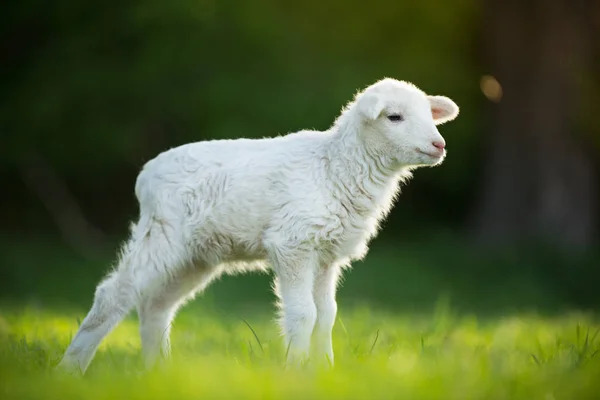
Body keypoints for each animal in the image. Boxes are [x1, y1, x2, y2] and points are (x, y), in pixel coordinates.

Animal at [56, 78, 460, 376]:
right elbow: (304, 314)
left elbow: (327, 315)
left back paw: (159, 372)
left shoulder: (326, 255)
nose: (438, 145)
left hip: (195, 255)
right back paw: (71, 369)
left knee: (156, 306)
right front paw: (297, 371)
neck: (335, 167)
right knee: (114, 294)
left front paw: (325, 370)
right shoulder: (293, 243)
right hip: (164, 233)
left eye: (429, 115)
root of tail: (146, 175)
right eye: (395, 117)